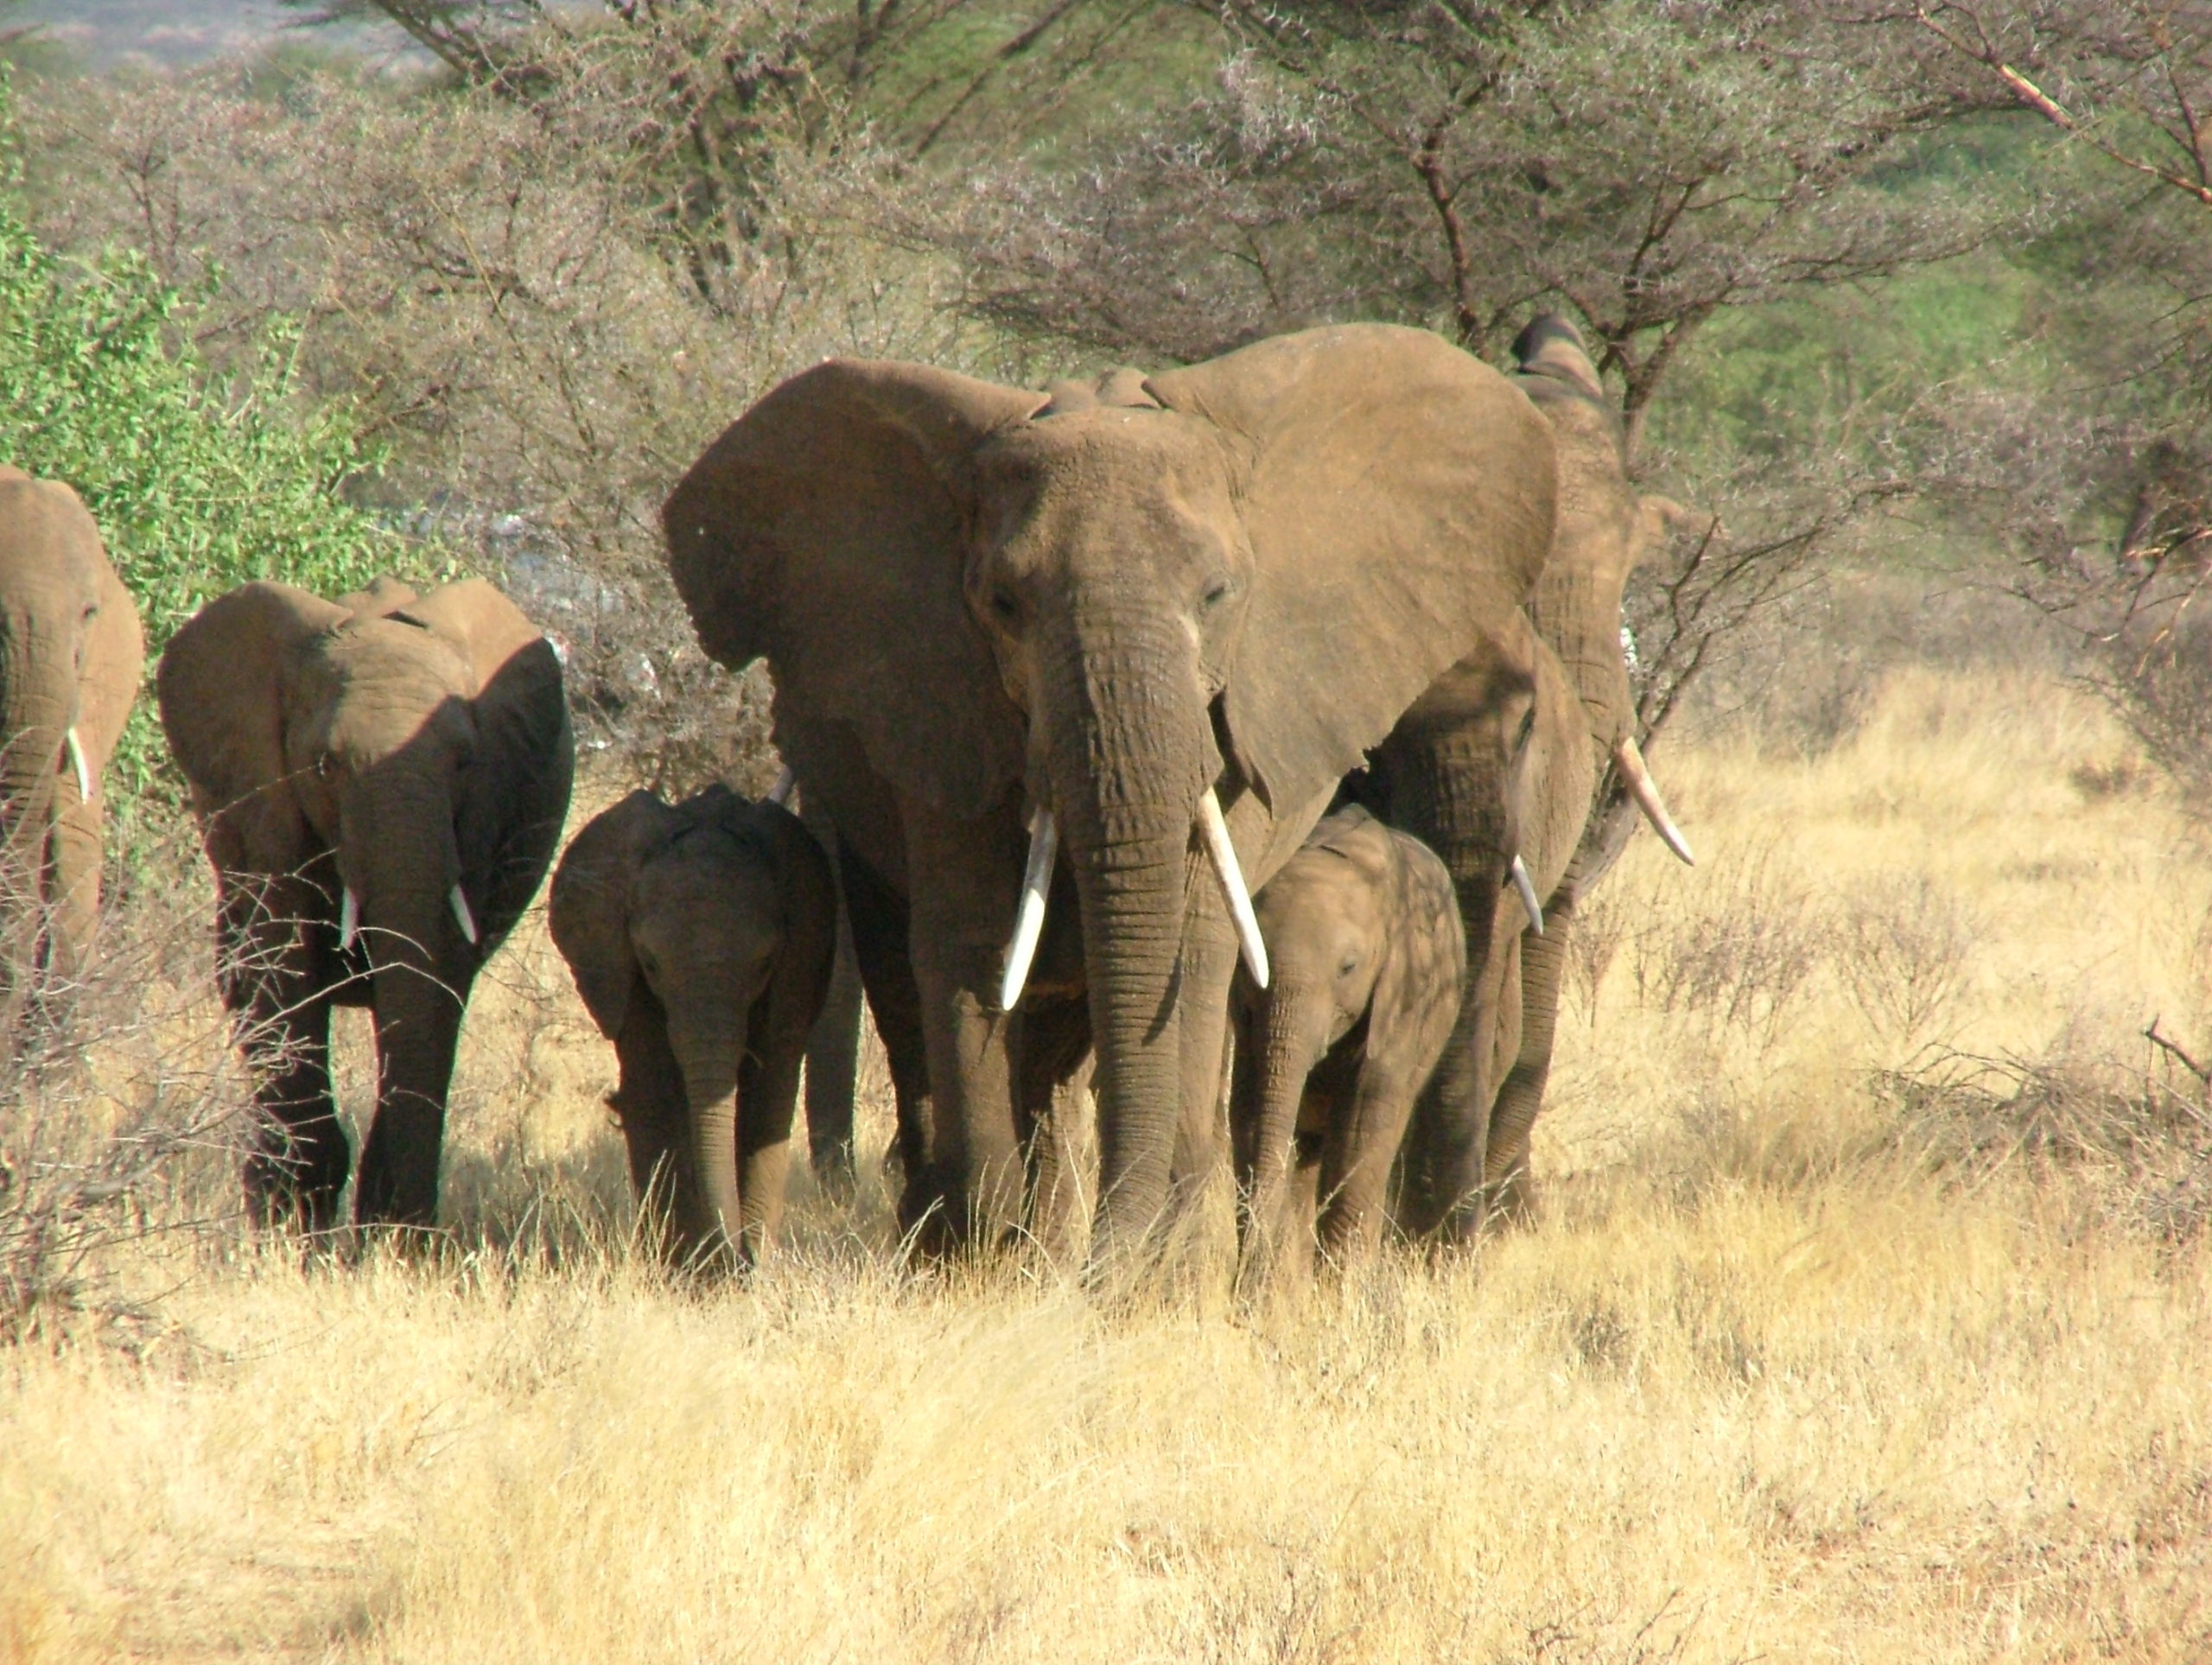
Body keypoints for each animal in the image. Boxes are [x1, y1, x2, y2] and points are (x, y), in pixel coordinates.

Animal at [158, 576, 572, 1233]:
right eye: (325, 766)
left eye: (465, 761)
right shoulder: (262, 794)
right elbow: (282, 958)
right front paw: (292, 1226)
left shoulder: (485, 808)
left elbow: (437, 971)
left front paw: (395, 1236)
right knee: (242, 977)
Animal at [549, 785, 837, 1268]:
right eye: (650, 963)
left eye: (764, 965)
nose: (738, 1259)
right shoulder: (623, 969)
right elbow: (654, 1086)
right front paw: (688, 1268)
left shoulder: (799, 960)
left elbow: (770, 1092)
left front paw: (754, 1262)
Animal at [1229, 806, 1464, 1291]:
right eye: (1249, 963)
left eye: (1348, 968)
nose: (1242, 1291)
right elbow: (1250, 1114)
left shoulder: (1405, 992)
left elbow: (1362, 1125)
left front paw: (1335, 1294)